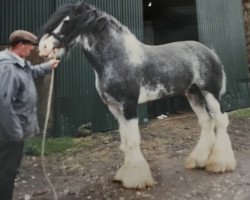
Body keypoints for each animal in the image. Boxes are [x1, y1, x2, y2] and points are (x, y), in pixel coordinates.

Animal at [38, 1, 236, 189]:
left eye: (66, 21)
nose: (43, 47)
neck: (118, 58)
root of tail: (210, 52)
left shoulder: (129, 105)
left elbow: (133, 141)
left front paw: (135, 179)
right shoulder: (115, 108)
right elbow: (125, 141)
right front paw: (124, 176)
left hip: (210, 93)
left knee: (220, 120)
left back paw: (220, 163)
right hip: (193, 94)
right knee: (206, 121)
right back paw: (198, 160)